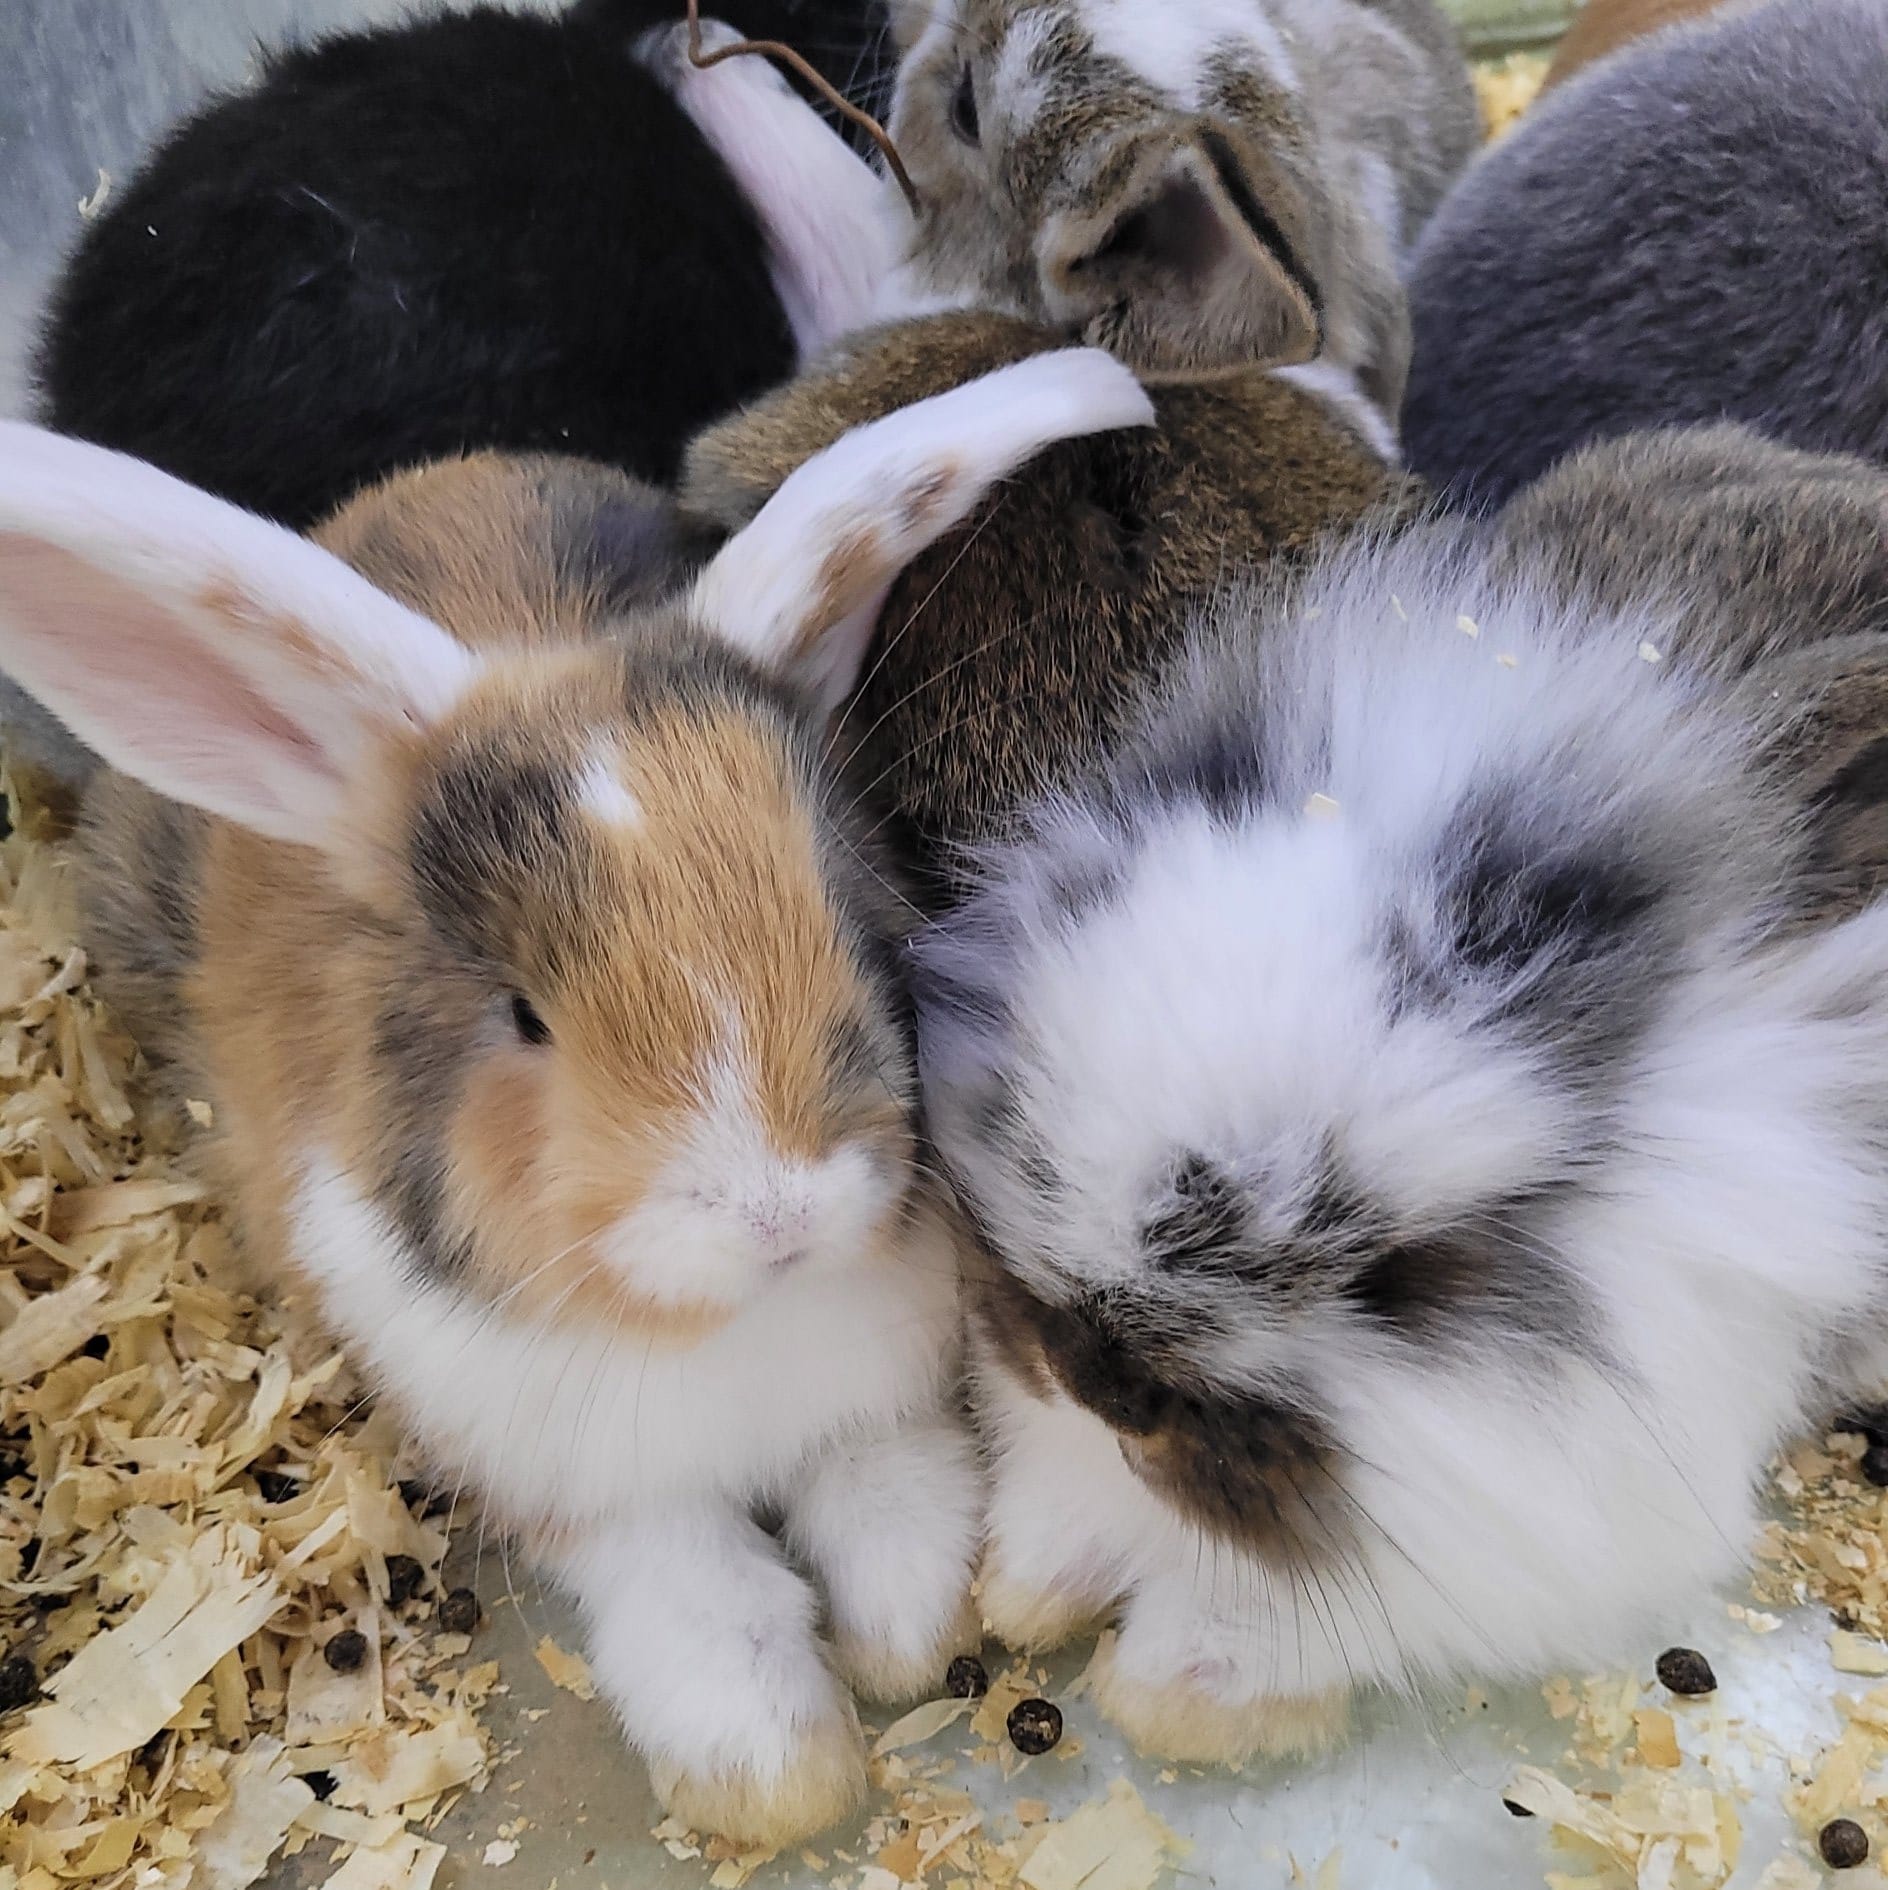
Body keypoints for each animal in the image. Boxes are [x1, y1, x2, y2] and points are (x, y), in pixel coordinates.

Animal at [0, 347, 1156, 1842]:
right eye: (523, 1015)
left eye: (847, 913)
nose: (782, 1215)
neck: (733, 1328)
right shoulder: (588, 1492)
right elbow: (703, 1595)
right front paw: (776, 1778)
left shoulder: (881, 1403)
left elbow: (890, 1496)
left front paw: (914, 1633)